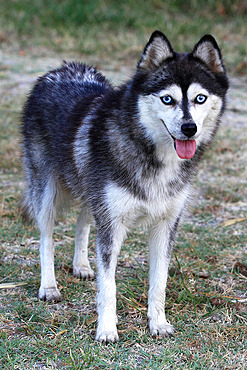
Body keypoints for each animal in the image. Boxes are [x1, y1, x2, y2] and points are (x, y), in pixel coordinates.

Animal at [20, 30, 229, 342]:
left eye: (200, 98)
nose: (189, 128)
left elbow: (159, 283)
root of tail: (61, 69)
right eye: (167, 99)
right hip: (47, 192)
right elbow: (109, 286)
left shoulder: (165, 226)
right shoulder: (112, 224)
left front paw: (159, 323)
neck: (151, 154)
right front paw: (107, 329)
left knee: (82, 223)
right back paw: (49, 286)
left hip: (91, 193)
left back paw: (82, 265)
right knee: (46, 237)